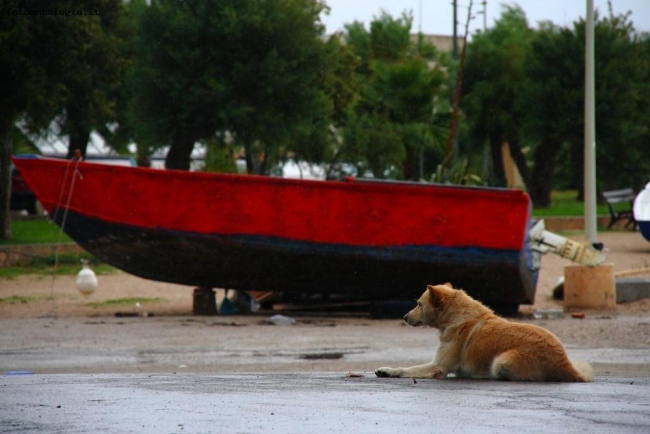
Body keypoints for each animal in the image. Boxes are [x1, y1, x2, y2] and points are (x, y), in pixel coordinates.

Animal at [374, 284, 592, 382]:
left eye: (419, 304)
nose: (404, 317)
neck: (455, 317)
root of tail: (566, 365)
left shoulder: (438, 367)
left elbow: (407, 369)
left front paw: (388, 370)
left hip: (501, 361)